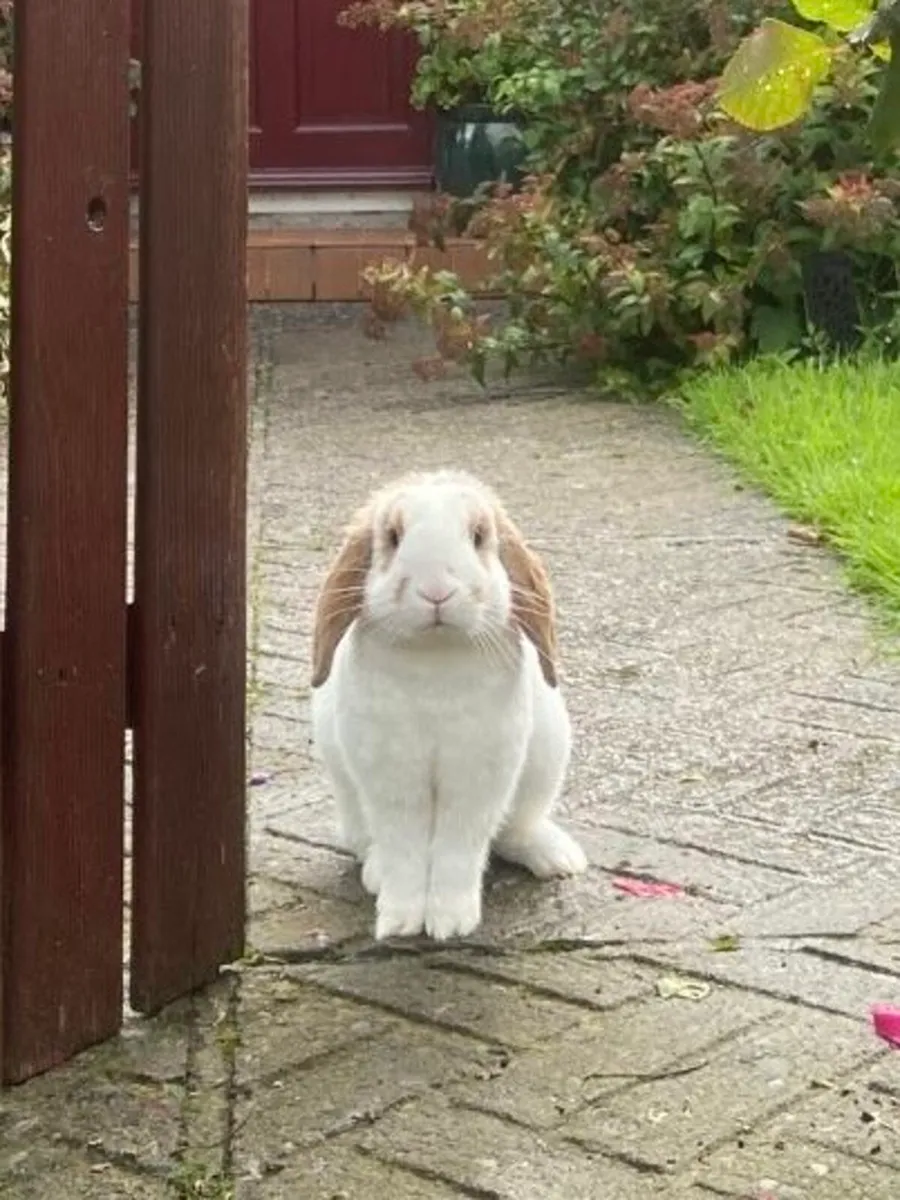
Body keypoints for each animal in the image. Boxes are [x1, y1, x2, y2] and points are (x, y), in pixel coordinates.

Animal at [309, 469, 586, 942]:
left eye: (477, 536)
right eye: (393, 536)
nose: (436, 591)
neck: (435, 655)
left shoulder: (477, 773)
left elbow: (460, 846)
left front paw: (450, 923)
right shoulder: (392, 774)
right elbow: (404, 847)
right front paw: (400, 921)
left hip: (544, 767)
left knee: (514, 832)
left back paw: (559, 860)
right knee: (368, 845)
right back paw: (376, 874)